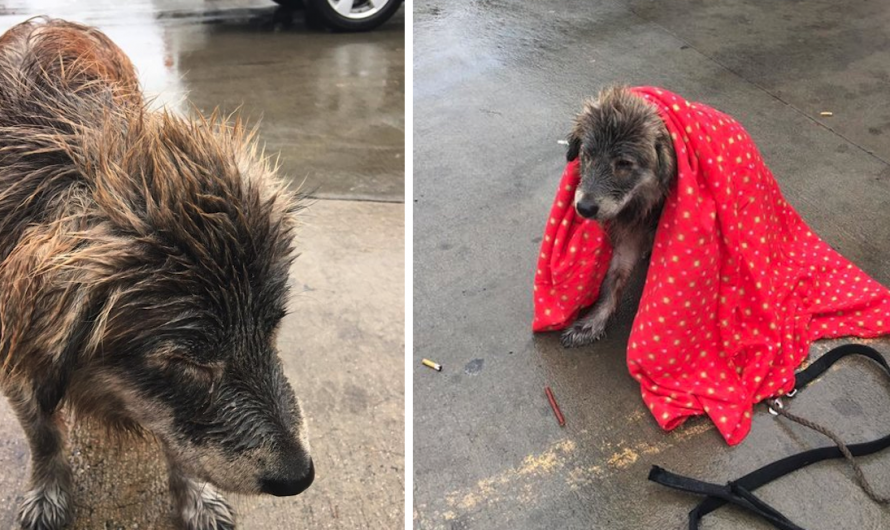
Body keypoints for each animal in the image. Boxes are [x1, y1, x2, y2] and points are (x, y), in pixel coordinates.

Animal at [0, 16, 312, 528]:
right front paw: (47, 493)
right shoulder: (18, 353)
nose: (301, 477)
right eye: (186, 363)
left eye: (273, 328)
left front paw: (196, 497)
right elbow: (43, 434)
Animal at [560, 87, 676, 346]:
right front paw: (593, 322)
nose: (584, 207)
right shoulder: (628, 234)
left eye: (623, 163)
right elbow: (614, 277)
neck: (646, 205)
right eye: (587, 154)